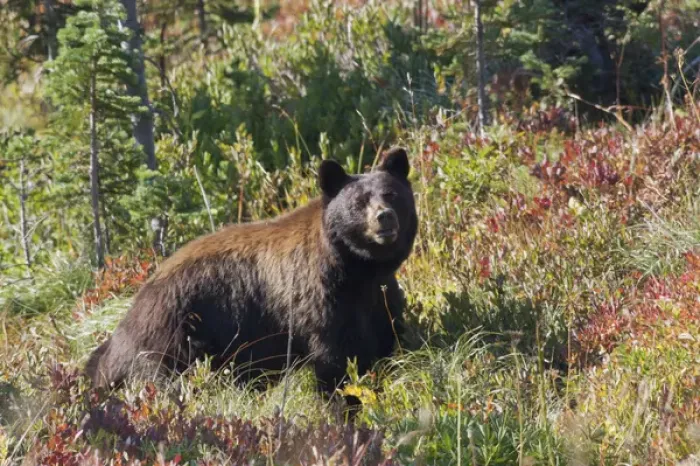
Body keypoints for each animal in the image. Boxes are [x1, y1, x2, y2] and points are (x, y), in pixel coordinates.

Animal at [85, 147, 418, 402]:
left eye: (391, 193)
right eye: (359, 202)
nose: (384, 217)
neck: (356, 269)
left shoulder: (377, 299)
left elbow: (386, 338)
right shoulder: (318, 301)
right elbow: (335, 361)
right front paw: (342, 402)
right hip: (170, 337)